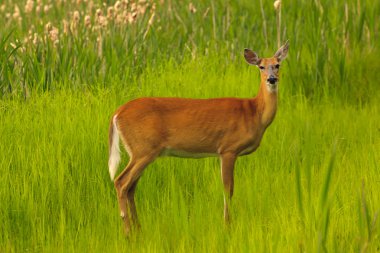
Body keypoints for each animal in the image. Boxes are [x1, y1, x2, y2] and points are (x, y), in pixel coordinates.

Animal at [108, 41, 290, 233]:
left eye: (277, 65)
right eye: (261, 66)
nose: (272, 79)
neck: (254, 112)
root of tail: (117, 113)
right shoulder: (228, 149)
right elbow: (228, 189)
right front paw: (227, 225)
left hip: (140, 152)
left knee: (131, 187)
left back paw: (138, 229)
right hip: (143, 149)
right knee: (121, 182)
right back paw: (128, 231)